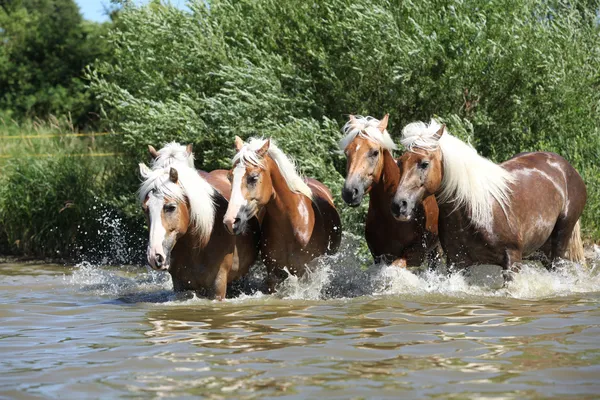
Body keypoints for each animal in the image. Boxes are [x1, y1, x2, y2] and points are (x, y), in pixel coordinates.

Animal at [223, 137, 342, 290]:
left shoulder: (307, 273)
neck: (291, 225)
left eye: (253, 177)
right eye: (229, 177)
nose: (230, 221)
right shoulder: (273, 275)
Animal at [390, 119, 584, 282]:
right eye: (400, 163)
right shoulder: (456, 263)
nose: (399, 205)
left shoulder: (512, 260)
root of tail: (565, 167)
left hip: (560, 242)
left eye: (424, 163)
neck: (475, 209)